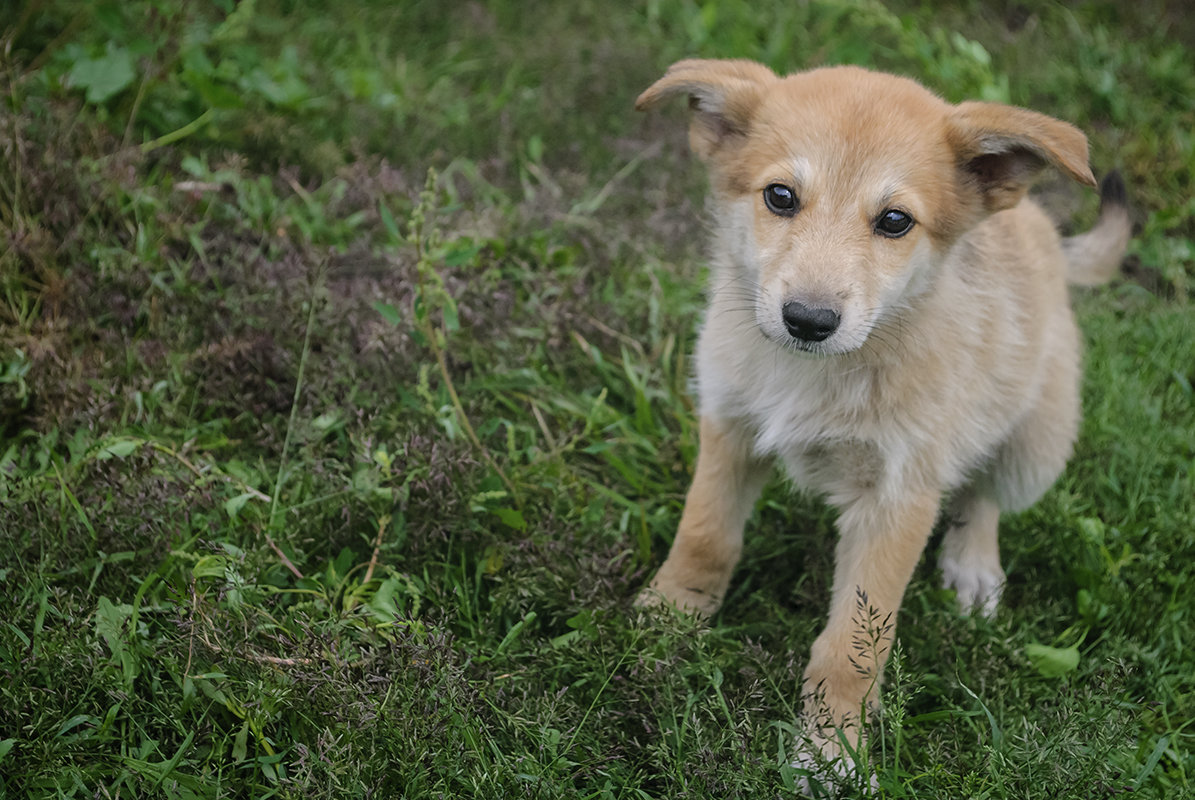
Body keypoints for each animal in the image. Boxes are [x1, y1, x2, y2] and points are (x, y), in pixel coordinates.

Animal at [635, 60, 1128, 784]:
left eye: (895, 221)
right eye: (779, 197)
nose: (808, 320)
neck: (819, 374)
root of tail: (1040, 228)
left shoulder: (899, 495)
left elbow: (853, 648)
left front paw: (830, 752)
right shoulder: (728, 422)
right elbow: (705, 535)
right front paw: (671, 615)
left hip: (1038, 438)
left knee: (983, 492)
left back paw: (972, 567)